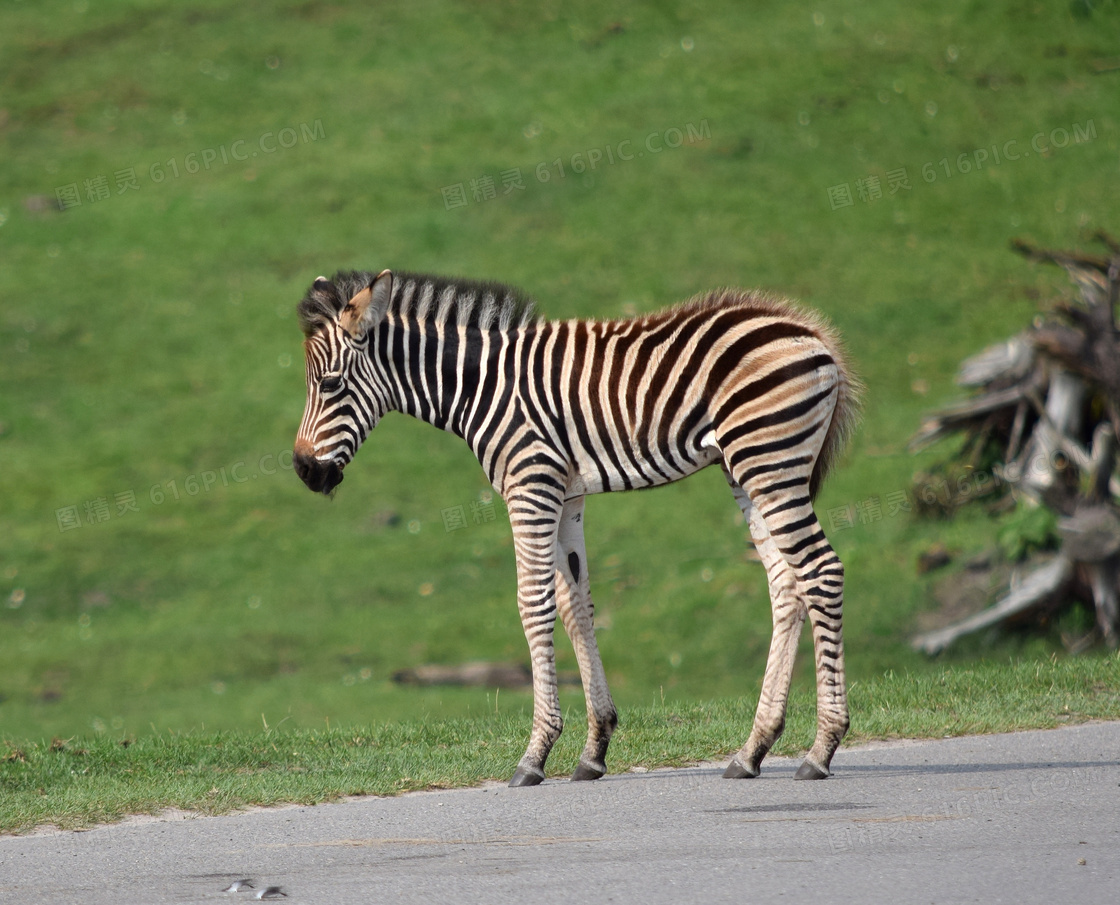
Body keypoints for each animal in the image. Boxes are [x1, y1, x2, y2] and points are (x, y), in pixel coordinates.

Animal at [293, 268, 860, 784]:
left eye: (329, 384)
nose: (303, 471)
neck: (481, 386)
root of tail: (813, 333)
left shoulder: (531, 485)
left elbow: (533, 605)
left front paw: (535, 755)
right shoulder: (567, 496)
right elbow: (575, 607)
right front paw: (594, 749)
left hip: (769, 459)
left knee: (822, 571)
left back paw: (821, 749)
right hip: (746, 467)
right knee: (786, 583)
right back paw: (752, 750)